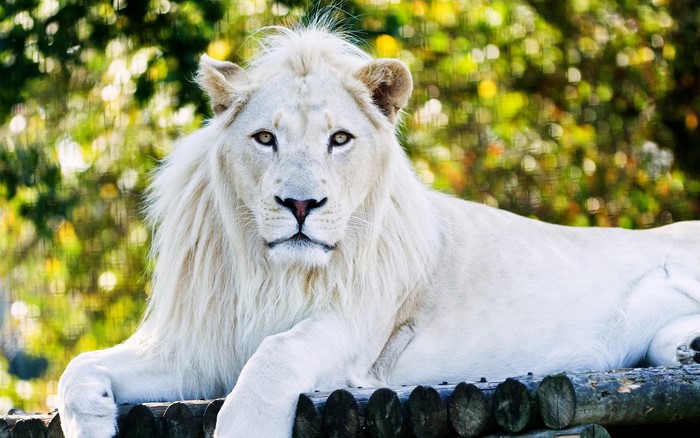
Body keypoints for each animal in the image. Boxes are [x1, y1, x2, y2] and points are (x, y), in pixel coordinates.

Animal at [57, 24, 700, 437]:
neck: (273, 272)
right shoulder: (197, 347)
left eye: (339, 138)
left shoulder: (358, 330)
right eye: (265, 138)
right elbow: (77, 369)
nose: (300, 203)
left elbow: (275, 355)